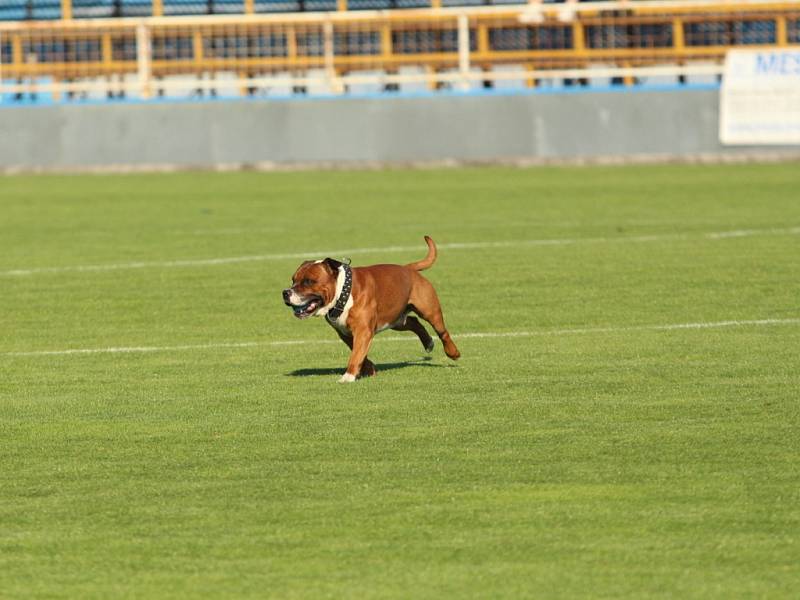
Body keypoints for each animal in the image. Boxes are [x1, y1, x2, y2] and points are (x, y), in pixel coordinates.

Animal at [282, 237, 460, 382]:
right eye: (293, 280)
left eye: (308, 281)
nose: (285, 292)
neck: (343, 292)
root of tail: (408, 268)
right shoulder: (347, 334)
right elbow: (359, 353)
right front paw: (369, 369)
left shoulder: (362, 331)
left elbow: (355, 355)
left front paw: (348, 376)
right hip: (395, 320)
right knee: (413, 321)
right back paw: (428, 342)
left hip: (430, 312)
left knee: (442, 332)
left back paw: (453, 352)